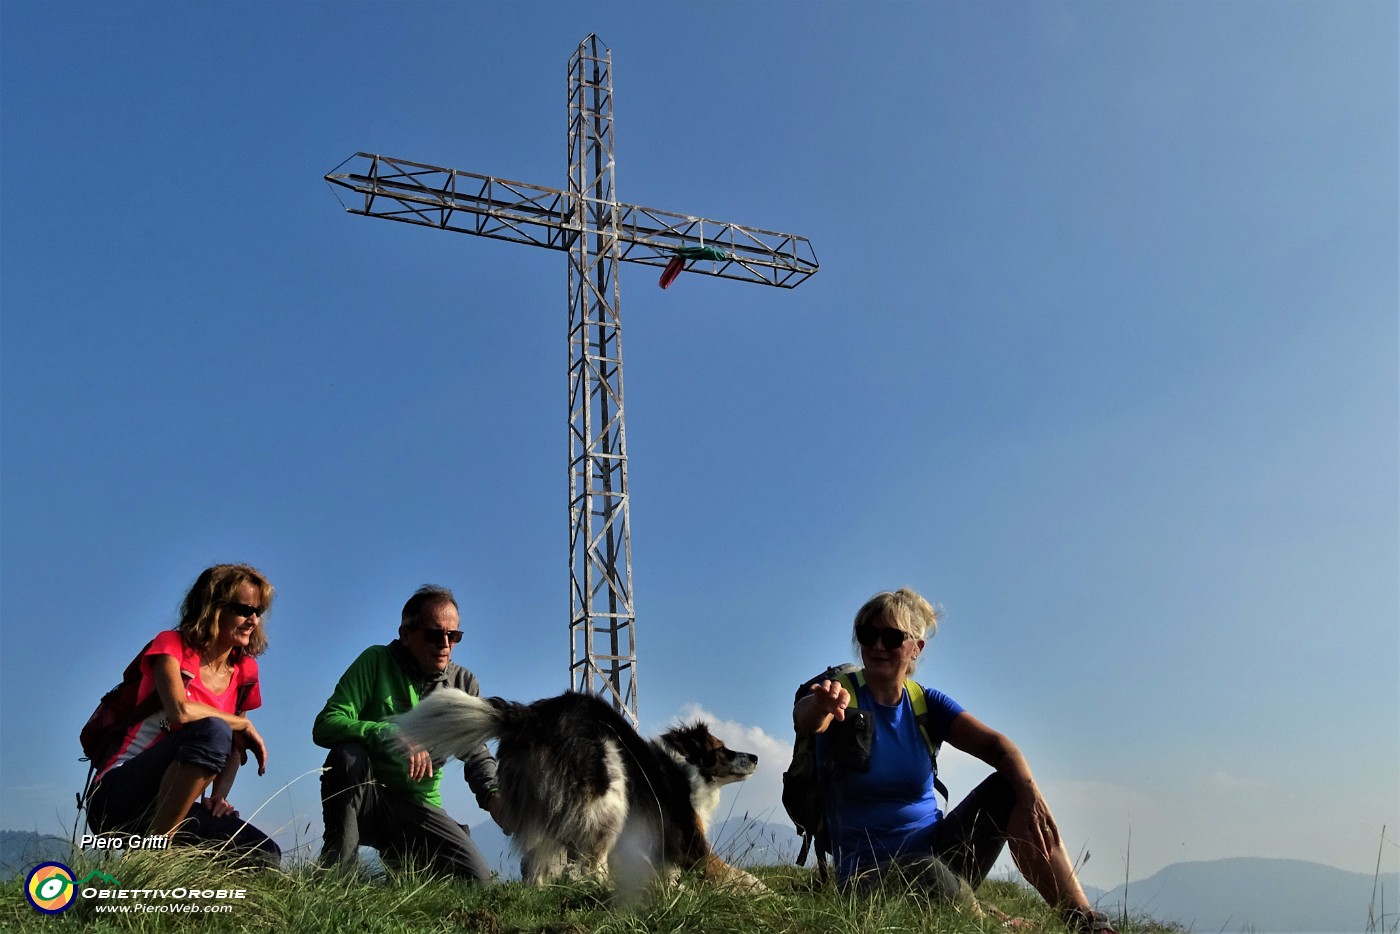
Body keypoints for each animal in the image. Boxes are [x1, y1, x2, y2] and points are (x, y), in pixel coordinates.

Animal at [394, 686, 767, 896]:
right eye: (721, 749)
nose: (755, 757)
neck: (687, 767)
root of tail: (532, 717)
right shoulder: (692, 845)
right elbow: (734, 874)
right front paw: (763, 892)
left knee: (539, 863)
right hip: (609, 792)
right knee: (587, 867)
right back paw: (607, 891)